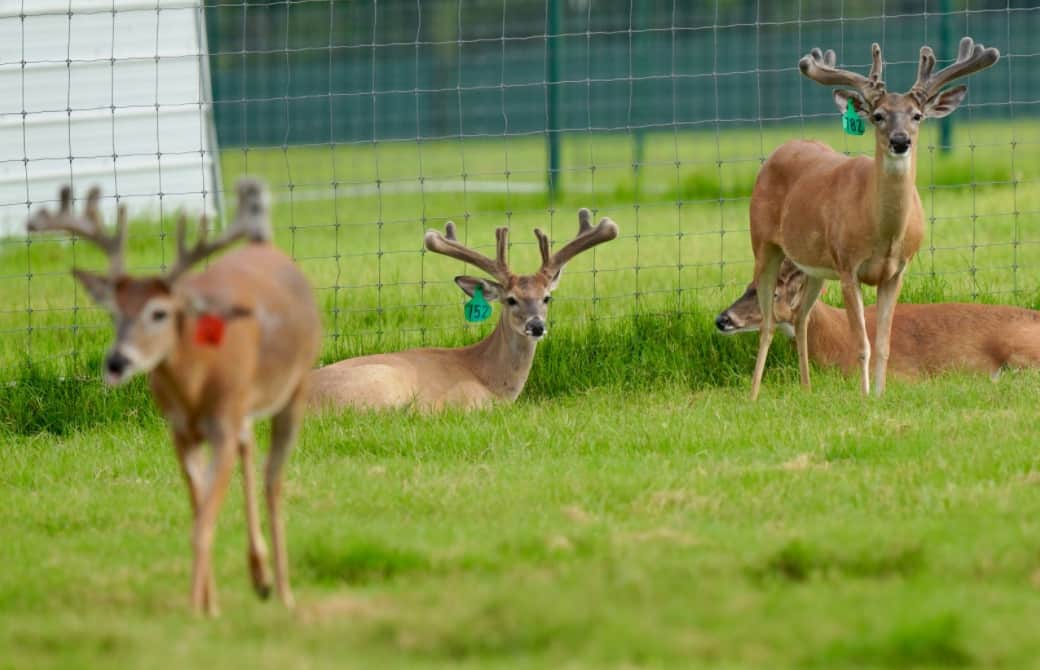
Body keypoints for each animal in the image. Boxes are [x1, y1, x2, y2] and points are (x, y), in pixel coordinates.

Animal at [26, 179, 321, 616]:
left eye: (160, 312)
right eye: (113, 312)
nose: (117, 361)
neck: (197, 386)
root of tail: (267, 247)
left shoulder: (222, 424)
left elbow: (203, 524)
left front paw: (197, 608)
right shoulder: (180, 431)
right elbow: (199, 510)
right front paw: (208, 603)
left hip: (294, 386)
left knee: (273, 480)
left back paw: (284, 593)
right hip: (244, 408)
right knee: (250, 451)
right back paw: (259, 573)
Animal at [308, 208, 618, 411]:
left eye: (547, 298)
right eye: (511, 299)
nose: (536, 326)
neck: (492, 379)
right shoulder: (466, 397)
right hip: (383, 384)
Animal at [748, 37, 998, 399]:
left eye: (917, 116)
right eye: (878, 116)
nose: (900, 141)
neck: (882, 233)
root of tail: (782, 149)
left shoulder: (896, 271)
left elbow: (883, 343)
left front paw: (880, 395)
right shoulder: (848, 266)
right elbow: (862, 344)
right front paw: (865, 396)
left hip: (814, 265)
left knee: (801, 318)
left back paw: (807, 390)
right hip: (763, 243)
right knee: (767, 322)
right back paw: (753, 396)